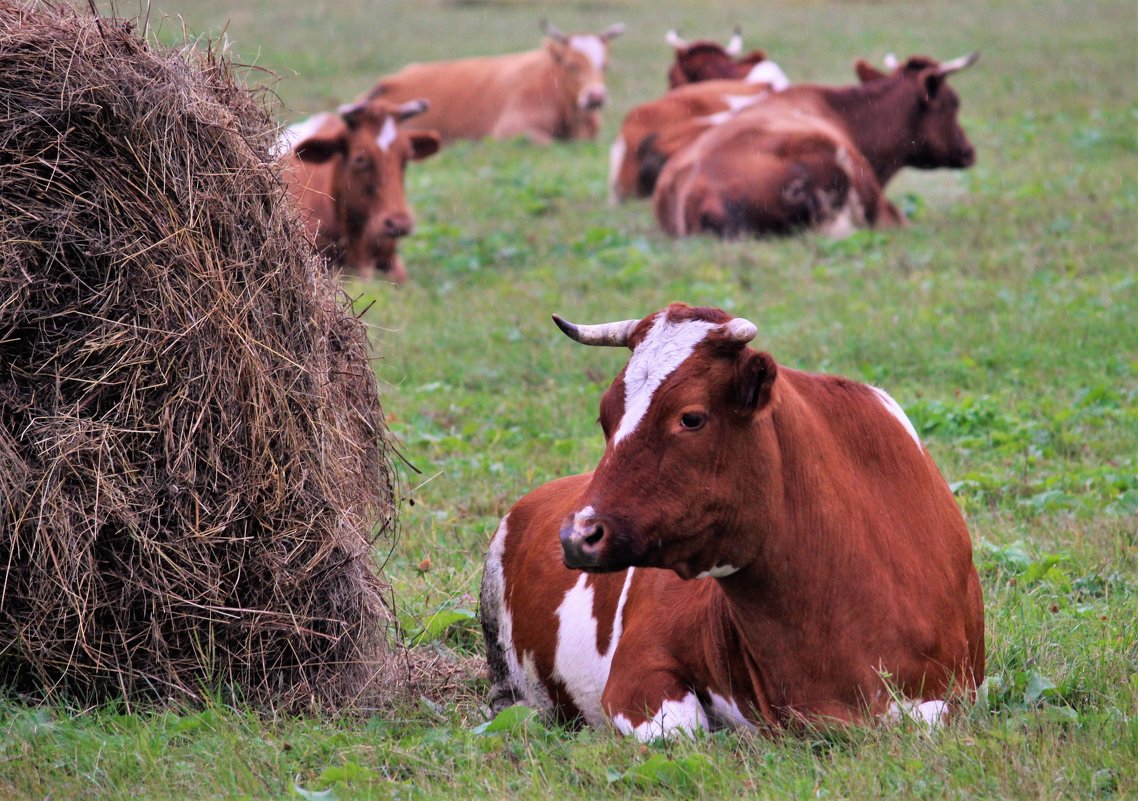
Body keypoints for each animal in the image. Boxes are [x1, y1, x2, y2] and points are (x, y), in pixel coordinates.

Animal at [475, 302, 983, 741]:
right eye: (605, 417)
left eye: (691, 418)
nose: (578, 535)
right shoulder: (637, 666)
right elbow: (683, 731)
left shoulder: (953, 690)